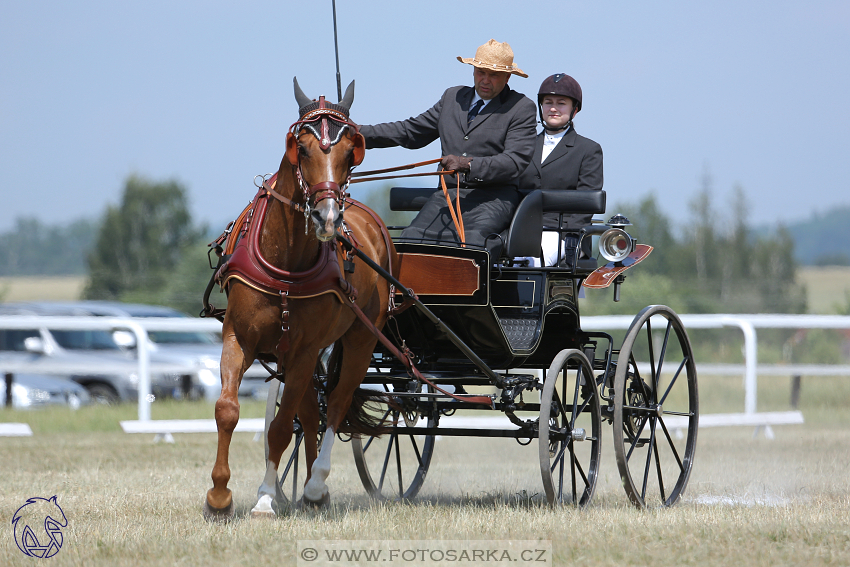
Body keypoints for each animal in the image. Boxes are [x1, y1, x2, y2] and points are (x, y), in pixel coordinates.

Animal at [203, 80, 398, 524]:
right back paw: (311, 489)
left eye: (351, 153)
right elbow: (228, 410)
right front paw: (219, 496)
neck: (286, 263)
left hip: (360, 339)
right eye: (302, 149)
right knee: (311, 414)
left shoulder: (307, 350)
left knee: (337, 405)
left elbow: (279, 427)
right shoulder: (240, 338)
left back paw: (315, 484)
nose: (328, 218)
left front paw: (262, 499)